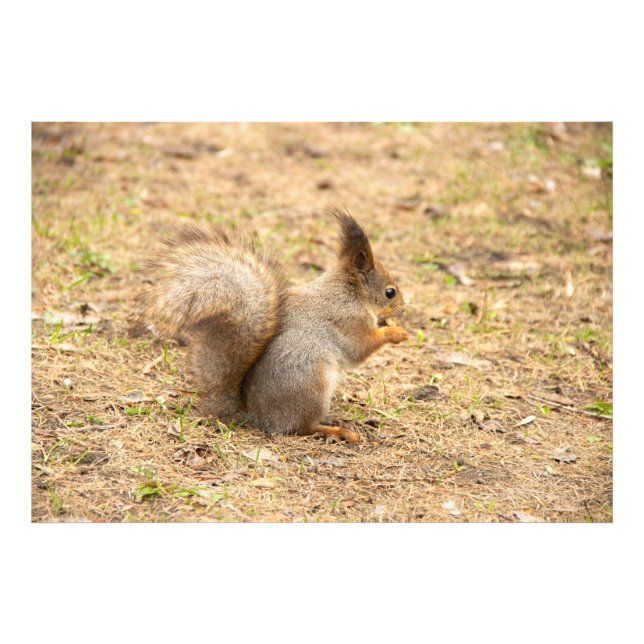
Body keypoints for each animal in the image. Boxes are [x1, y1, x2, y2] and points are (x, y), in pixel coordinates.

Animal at [138, 207, 409, 442]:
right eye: (390, 292)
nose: (403, 309)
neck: (350, 293)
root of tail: (258, 418)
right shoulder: (349, 321)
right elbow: (360, 348)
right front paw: (395, 332)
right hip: (311, 384)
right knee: (302, 427)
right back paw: (337, 430)